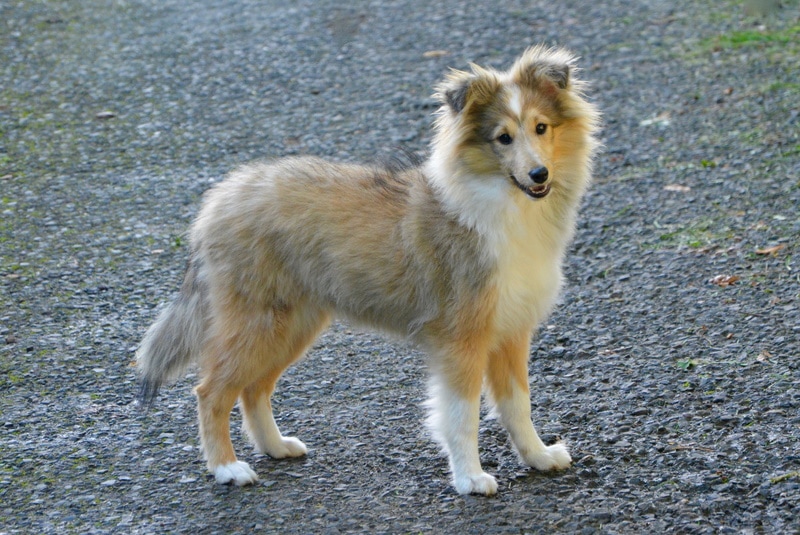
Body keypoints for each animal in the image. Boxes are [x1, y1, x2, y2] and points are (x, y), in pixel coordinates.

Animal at [138, 47, 600, 498]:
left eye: (541, 128)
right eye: (502, 137)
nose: (539, 174)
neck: (501, 206)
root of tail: (219, 199)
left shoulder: (511, 332)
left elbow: (518, 405)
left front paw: (539, 457)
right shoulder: (462, 338)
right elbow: (462, 414)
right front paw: (470, 478)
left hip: (292, 324)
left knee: (254, 389)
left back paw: (276, 447)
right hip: (256, 321)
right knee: (211, 391)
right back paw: (227, 468)